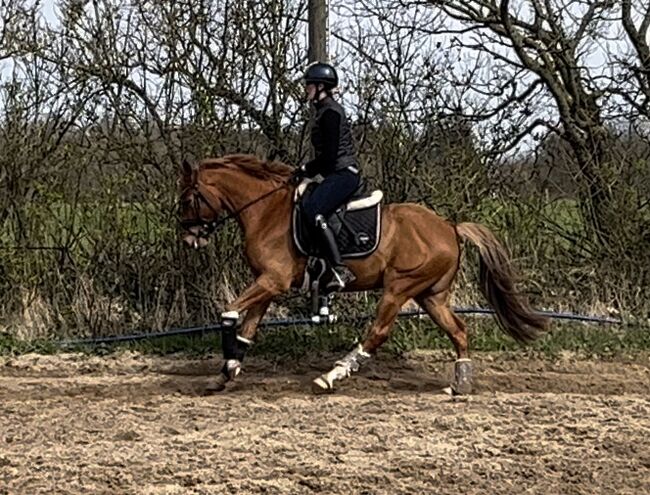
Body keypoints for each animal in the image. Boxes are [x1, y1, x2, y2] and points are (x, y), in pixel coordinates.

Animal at [178, 154, 548, 396]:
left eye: (186, 199)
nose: (189, 239)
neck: (267, 212)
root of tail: (449, 226)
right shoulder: (266, 284)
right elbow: (247, 330)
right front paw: (226, 373)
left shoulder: (272, 281)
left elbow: (228, 313)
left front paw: (227, 367)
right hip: (431, 296)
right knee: (458, 330)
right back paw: (461, 384)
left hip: (399, 288)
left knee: (378, 333)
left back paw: (331, 375)